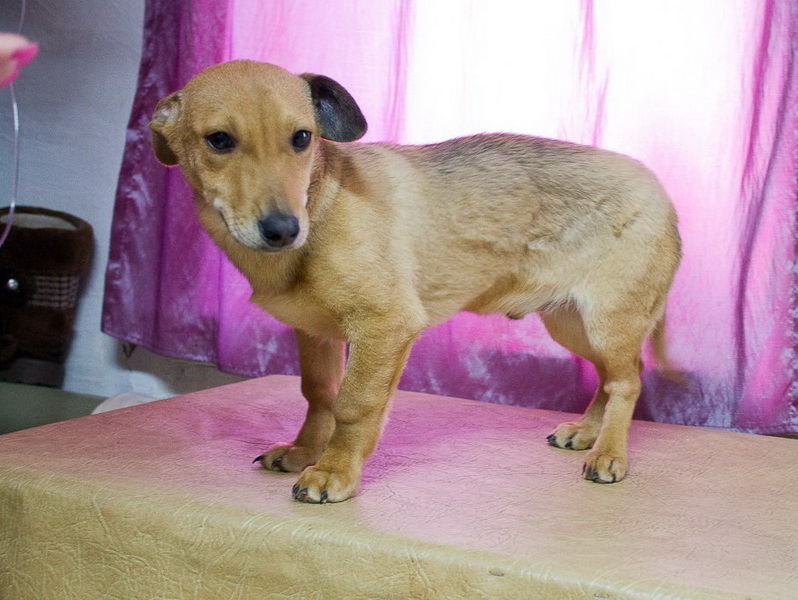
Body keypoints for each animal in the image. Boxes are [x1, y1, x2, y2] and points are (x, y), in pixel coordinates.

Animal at [149, 60, 681, 503]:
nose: (283, 229)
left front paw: (334, 472)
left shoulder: (384, 326)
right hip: (574, 325)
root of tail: (661, 194)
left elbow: (352, 405)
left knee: (628, 382)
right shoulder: (316, 333)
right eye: (219, 140)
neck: (323, 203)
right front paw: (304, 451)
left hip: (607, 322)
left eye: (302, 138)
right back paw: (589, 433)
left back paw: (609, 454)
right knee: (614, 376)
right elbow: (319, 395)